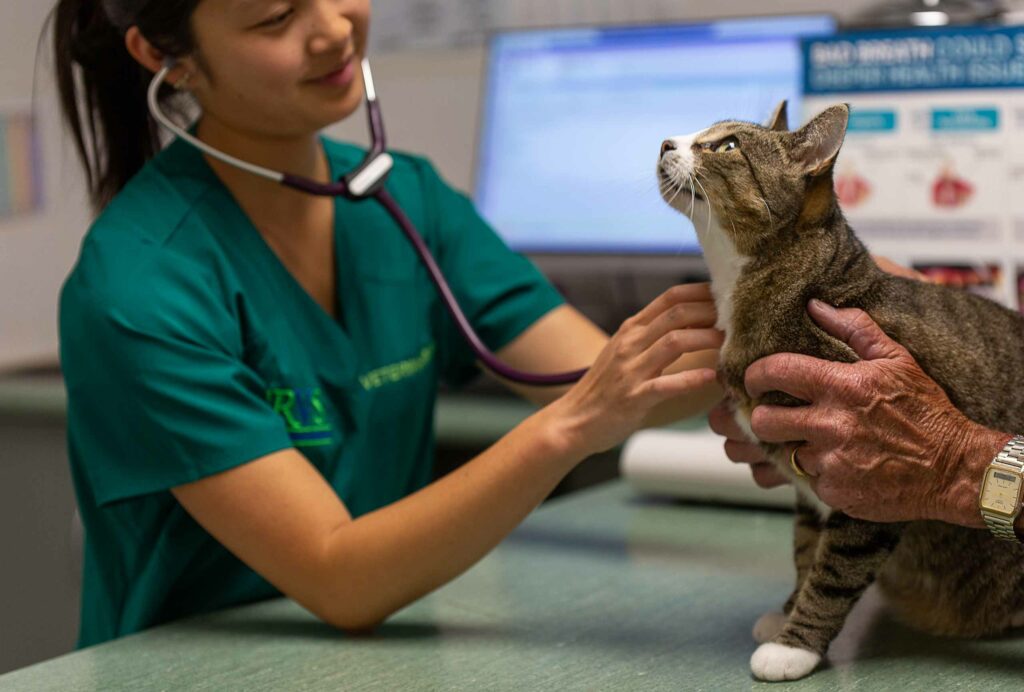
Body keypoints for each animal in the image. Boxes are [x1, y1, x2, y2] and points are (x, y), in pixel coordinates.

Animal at [659, 102, 1024, 679]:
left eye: (727, 146)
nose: (665, 142)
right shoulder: (811, 491)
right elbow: (806, 550)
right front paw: (787, 611)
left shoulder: (866, 480)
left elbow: (833, 572)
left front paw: (795, 645)